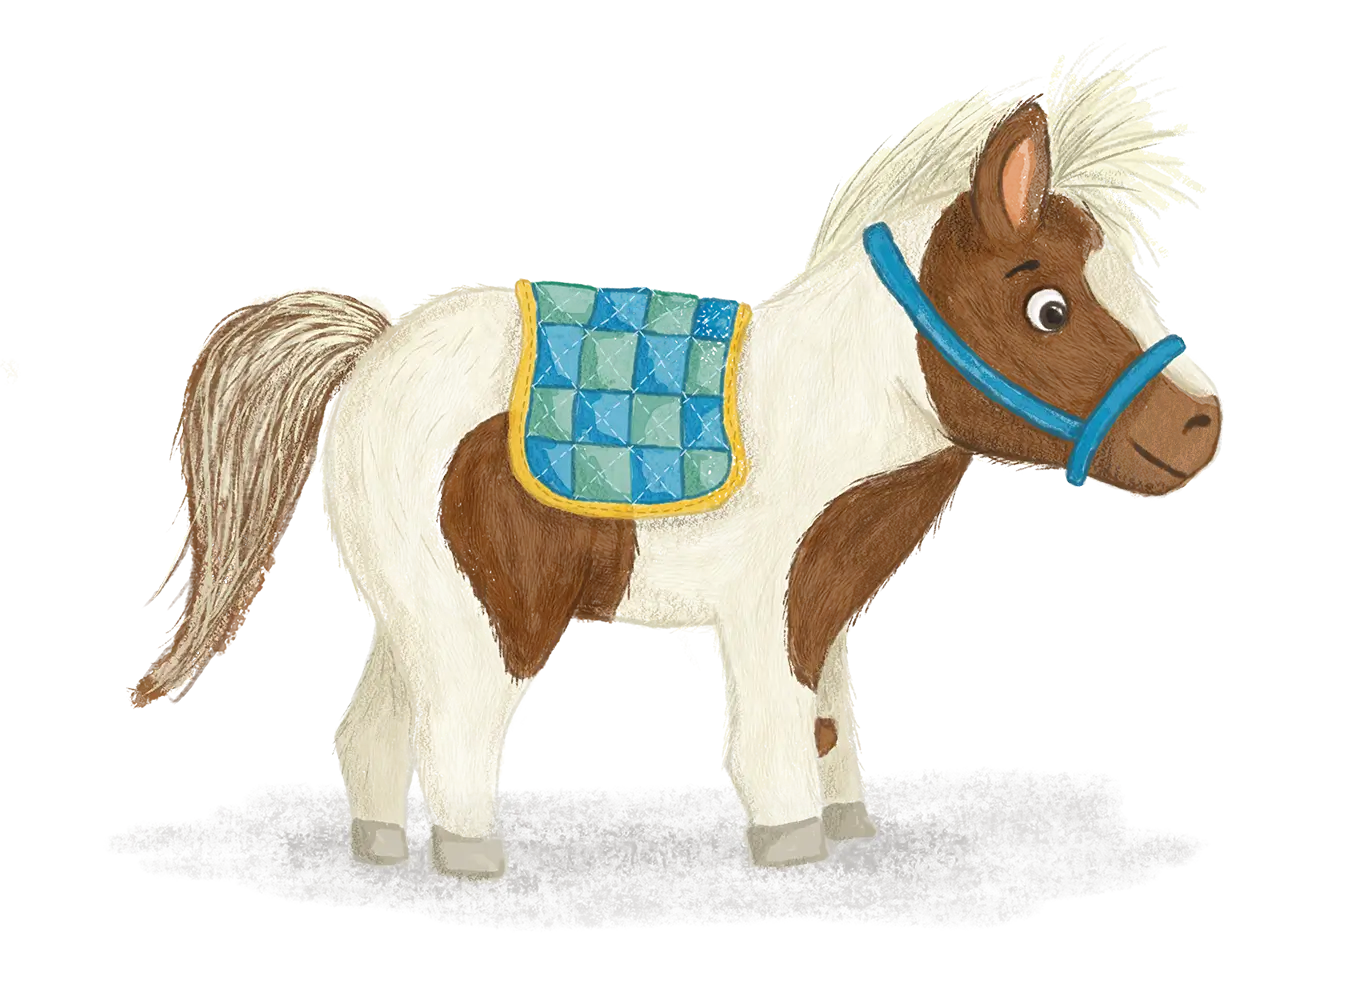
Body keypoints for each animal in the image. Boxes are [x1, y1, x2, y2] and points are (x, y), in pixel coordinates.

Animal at [125, 38, 1224, 878]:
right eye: (1050, 307)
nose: (1203, 422)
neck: (854, 401)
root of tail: (369, 349)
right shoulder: (767, 601)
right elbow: (773, 734)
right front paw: (792, 848)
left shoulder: (832, 603)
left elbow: (834, 725)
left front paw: (848, 830)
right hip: (493, 613)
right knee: (458, 729)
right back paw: (473, 863)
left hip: (416, 598)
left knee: (373, 727)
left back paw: (380, 847)